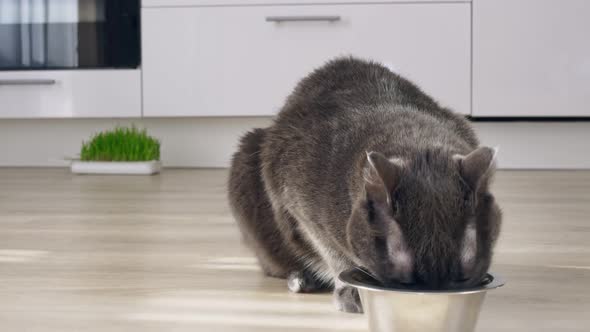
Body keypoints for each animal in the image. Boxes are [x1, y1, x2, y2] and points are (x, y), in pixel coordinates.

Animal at [229, 55, 502, 312]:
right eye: (405, 280)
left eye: (462, 275)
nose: (432, 297)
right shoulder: (298, 202)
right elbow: (332, 252)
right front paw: (350, 290)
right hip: (247, 159)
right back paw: (301, 279)